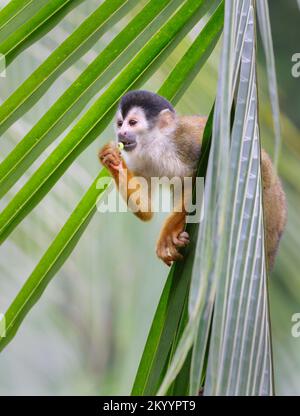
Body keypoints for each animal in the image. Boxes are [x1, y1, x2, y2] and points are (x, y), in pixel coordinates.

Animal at [98, 89, 286, 268]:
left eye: (132, 123)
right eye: (120, 123)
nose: (121, 133)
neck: (157, 144)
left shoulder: (187, 141)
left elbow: (203, 179)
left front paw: (168, 233)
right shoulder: (138, 161)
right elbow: (147, 209)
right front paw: (112, 161)